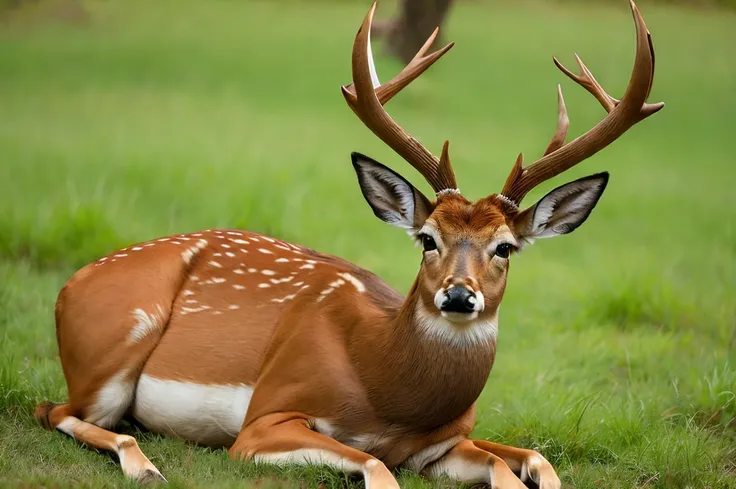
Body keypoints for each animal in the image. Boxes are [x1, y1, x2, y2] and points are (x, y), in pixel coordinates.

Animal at [37, 1, 664, 486]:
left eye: (505, 247)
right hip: (114, 345)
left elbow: (532, 459)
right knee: (57, 411)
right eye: (427, 238)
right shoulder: (267, 416)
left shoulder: (445, 445)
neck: (386, 394)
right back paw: (144, 466)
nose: (459, 296)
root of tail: (69, 286)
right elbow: (376, 466)